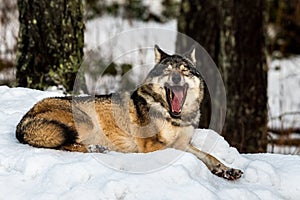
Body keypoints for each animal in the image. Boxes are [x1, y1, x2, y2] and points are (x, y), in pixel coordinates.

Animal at [15, 45, 241, 180]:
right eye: (168, 71)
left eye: (184, 71)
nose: (176, 78)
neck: (174, 116)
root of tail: (21, 123)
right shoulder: (153, 146)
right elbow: (192, 157)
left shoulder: (184, 143)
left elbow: (209, 156)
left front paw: (227, 169)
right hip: (84, 122)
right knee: (66, 145)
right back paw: (97, 149)